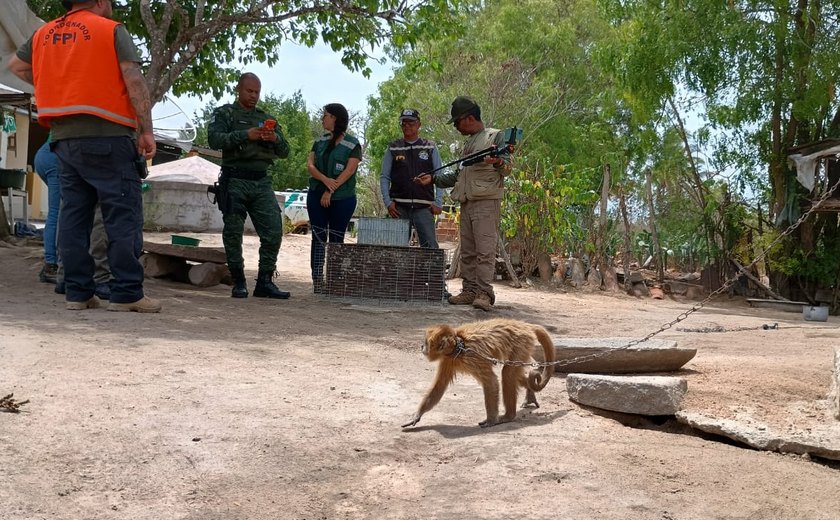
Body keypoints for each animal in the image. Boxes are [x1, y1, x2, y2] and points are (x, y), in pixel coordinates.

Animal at [402, 318, 556, 428]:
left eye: (426, 343)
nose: (422, 346)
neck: (459, 348)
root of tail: (524, 325)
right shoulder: (448, 360)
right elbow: (439, 386)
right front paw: (417, 415)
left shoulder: (472, 357)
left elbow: (491, 382)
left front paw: (491, 420)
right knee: (512, 373)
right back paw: (529, 394)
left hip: (522, 342)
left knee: (507, 372)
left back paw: (509, 416)